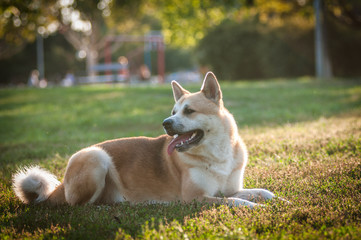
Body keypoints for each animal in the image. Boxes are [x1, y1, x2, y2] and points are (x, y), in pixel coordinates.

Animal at [12, 71, 274, 208]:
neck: (217, 154)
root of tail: (61, 186)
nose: (166, 123)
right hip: (96, 157)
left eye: (189, 111)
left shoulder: (229, 188)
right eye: (173, 112)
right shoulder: (195, 198)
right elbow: (236, 201)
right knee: (81, 206)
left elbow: (254, 192)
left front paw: (272, 197)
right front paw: (256, 207)